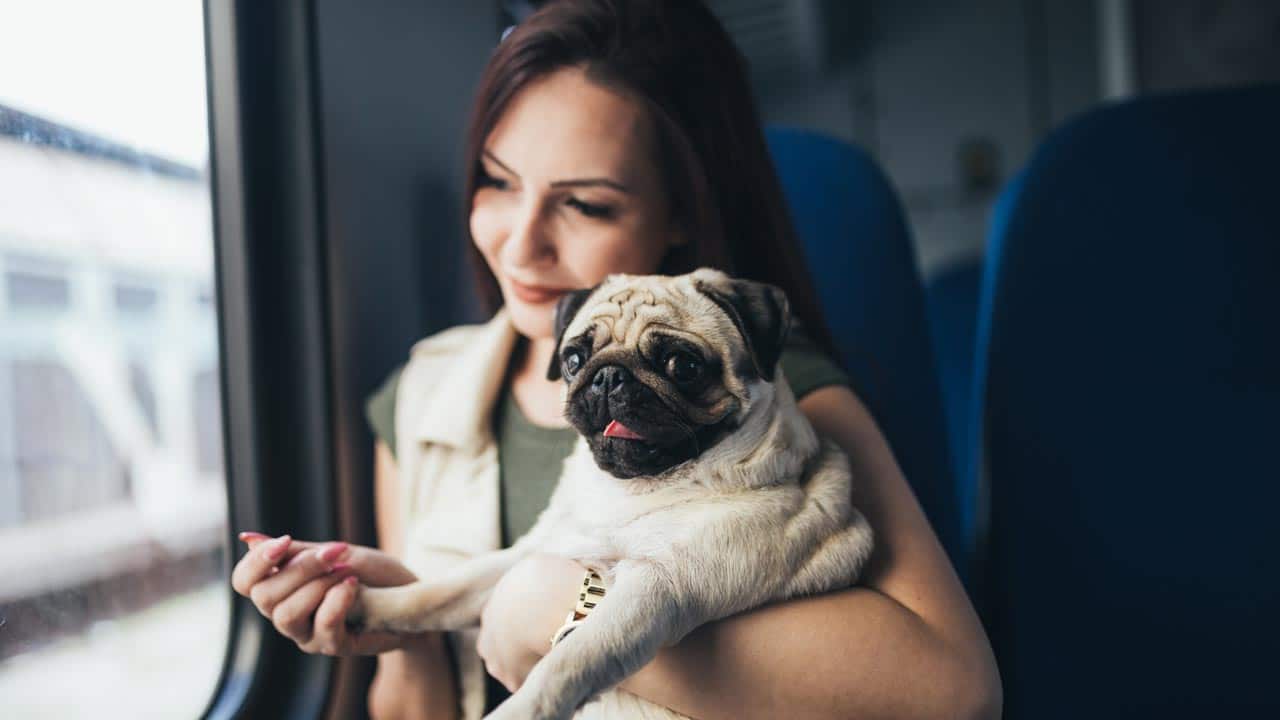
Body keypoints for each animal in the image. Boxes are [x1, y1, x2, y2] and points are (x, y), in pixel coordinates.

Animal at [345, 267, 875, 717]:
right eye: (574, 359)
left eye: (683, 366)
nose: (607, 375)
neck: (631, 490)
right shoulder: (534, 552)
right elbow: (441, 590)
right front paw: (370, 606)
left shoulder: (657, 589)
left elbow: (570, 660)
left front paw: (522, 709)